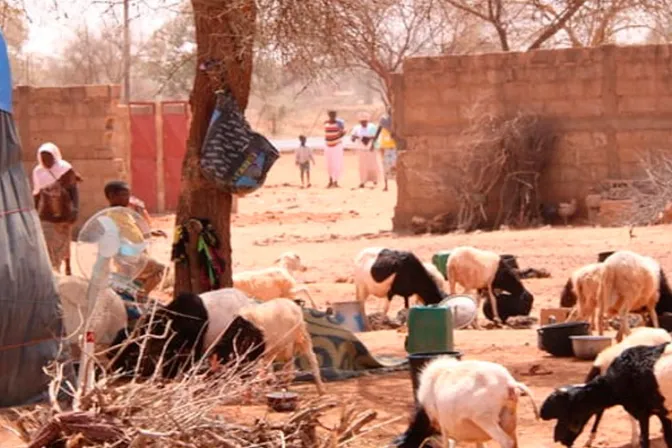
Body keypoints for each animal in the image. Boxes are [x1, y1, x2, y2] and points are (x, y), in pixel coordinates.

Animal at [396, 356, 540, 446]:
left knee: (506, 442)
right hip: (509, 420)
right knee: (514, 442)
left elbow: (447, 444)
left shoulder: (443, 427)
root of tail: (509, 383)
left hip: (485, 420)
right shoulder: (477, 436)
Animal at [540, 342, 672, 446]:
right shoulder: (663, 413)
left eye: (566, 411)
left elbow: (644, 441)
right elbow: (668, 439)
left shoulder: (642, 411)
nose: (561, 440)